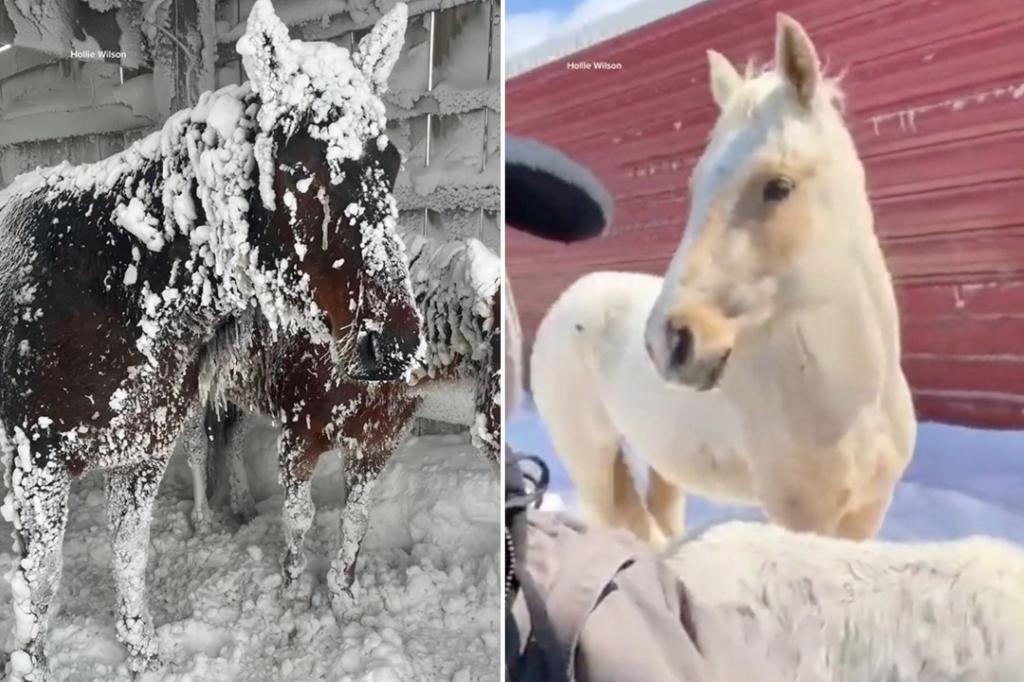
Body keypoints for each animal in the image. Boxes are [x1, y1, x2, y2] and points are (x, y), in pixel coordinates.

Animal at [0, 1, 419, 675]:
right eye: (297, 165)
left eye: (392, 163)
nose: (397, 345)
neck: (125, 291)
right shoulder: (39, 463)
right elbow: (39, 583)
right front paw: (30, 666)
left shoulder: (139, 455)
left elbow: (129, 557)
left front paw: (141, 652)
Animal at [185, 232, 503, 606]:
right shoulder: (299, 442)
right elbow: (298, 517)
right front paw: (292, 590)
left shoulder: (373, 448)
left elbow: (356, 520)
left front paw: (344, 595)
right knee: (196, 448)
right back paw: (203, 520)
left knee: (232, 439)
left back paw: (244, 505)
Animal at [532, 14, 917, 548]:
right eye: (697, 187)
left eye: (778, 186)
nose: (670, 343)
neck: (852, 398)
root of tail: (572, 296)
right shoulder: (802, 520)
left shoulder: (865, 514)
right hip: (593, 459)